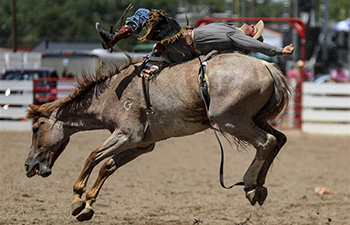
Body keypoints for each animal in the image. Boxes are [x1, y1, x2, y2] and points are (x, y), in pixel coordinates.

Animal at [23, 53, 290, 221]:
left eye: (36, 128)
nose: (29, 165)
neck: (110, 95)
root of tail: (268, 67)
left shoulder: (126, 135)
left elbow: (92, 156)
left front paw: (77, 198)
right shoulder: (141, 145)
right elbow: (108, 165)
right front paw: (88, 204)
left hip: (232, 120)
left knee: (266, 142)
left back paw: (250, 183)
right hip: (254, 119)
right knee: (279, 140)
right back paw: (258, 188)